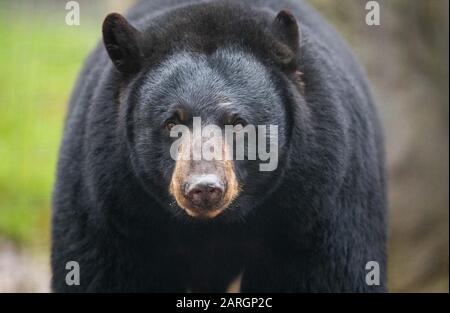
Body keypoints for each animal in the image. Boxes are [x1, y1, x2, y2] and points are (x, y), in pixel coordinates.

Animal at [50, 0, 386, 292]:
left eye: (237, 123)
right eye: (172, 123)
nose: (204, 188)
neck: (214, 229)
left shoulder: (315, 208)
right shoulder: (114, 209)